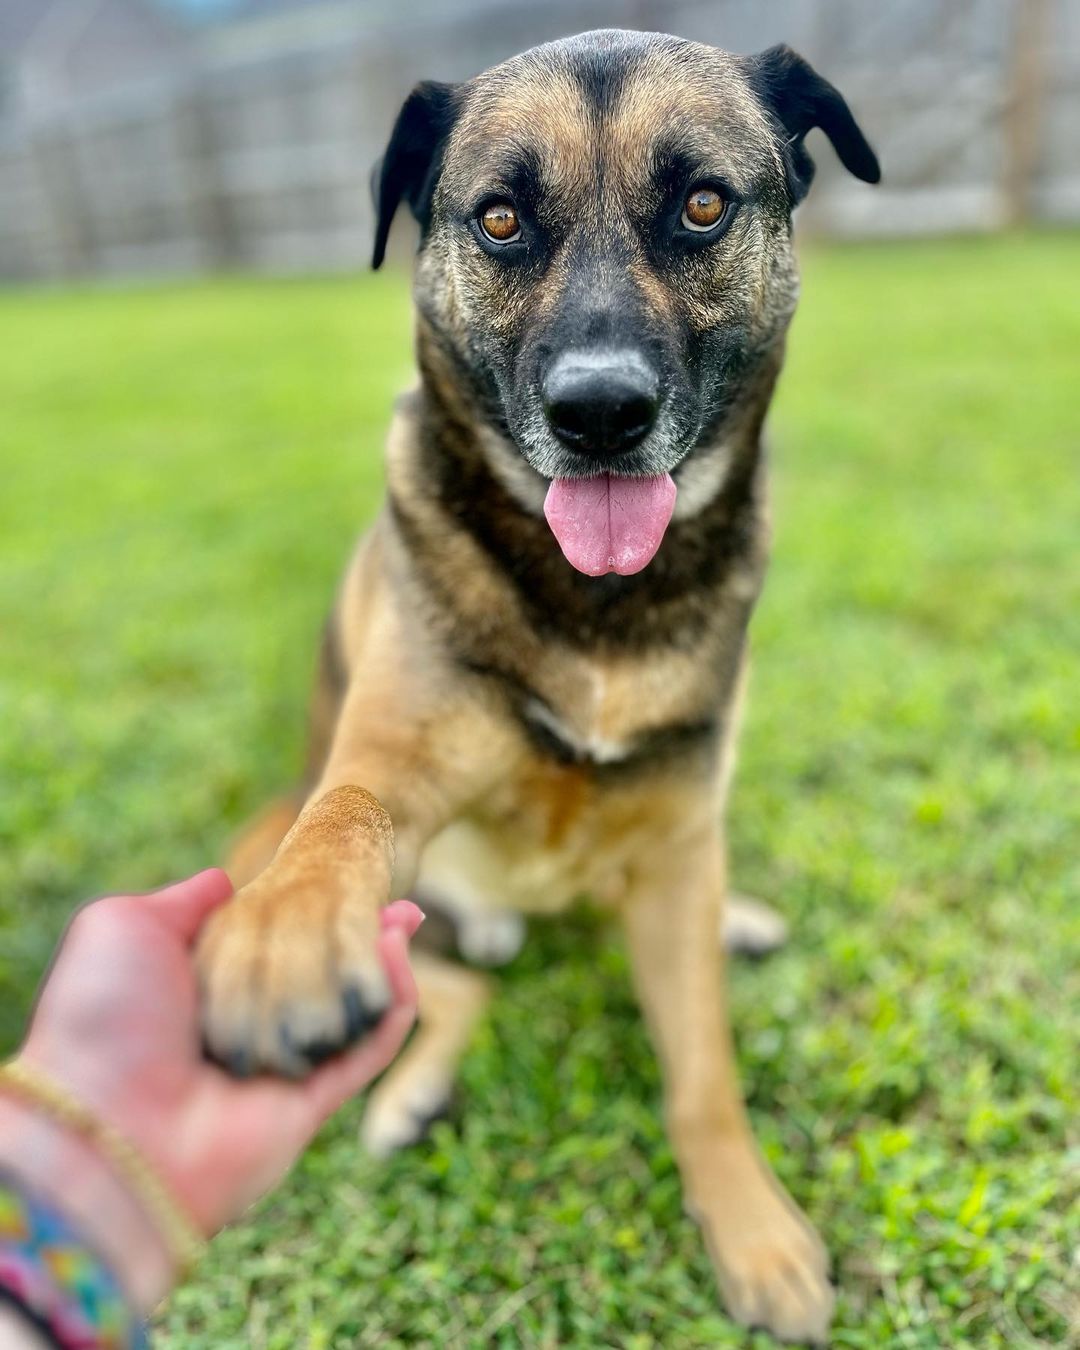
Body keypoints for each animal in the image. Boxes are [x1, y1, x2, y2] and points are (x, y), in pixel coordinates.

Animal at [198, 29, 880, 1339]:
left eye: (703, 205)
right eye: (503, 219)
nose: (600, 414)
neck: (597, 603)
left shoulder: (678, 821)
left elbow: (704, 1070)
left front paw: (754, 1230)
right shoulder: (390, 770)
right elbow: (346, 821)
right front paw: (292, 936)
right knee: (453, 982)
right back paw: (403, 1087)